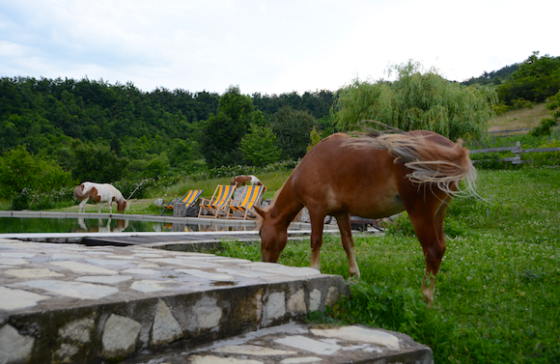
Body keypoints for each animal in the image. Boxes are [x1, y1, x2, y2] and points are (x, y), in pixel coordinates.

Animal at [254, 131, 476, 304]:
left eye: (260, 233)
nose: (264, 262)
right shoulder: (342, 213)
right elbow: (348, 243)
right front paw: (354, 276)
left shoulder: (316, 209)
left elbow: (316, 241)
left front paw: (314, 271)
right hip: (438, 214)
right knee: (441, 248)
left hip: (420, 214)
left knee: (433, 250)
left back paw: (425, 297)